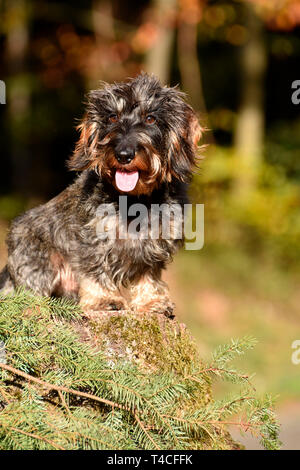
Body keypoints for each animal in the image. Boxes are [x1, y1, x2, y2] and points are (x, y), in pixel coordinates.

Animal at [0, 71, 202, 318]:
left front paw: (151, 301)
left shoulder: (154, 245)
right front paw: (103, 299)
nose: (123, 154)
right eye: (113, 117)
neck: (135, 200)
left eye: (151, 119)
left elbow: (148, 275)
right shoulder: (92, 239)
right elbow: (95, 269)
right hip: (36, 259)